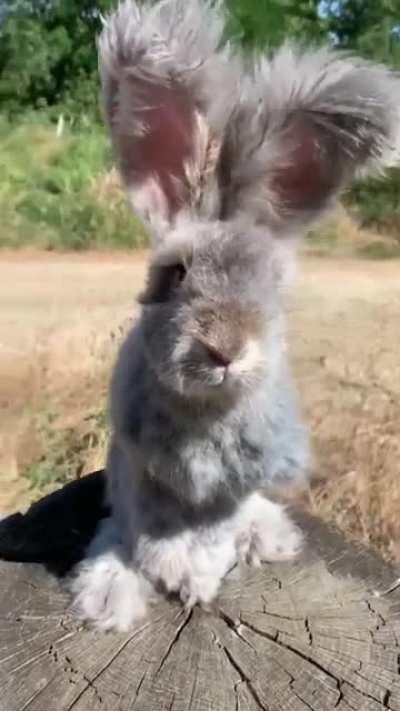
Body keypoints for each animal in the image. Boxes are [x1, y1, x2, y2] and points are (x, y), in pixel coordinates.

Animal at [69, 0, 400, 631]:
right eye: (174, 275)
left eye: (271, 285)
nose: (224, 348)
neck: (204, 410)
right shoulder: (142, 471)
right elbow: (153, 534)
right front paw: (170, 576)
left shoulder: (230, 485)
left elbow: (213, 535)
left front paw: (198, 582)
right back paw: (110, 592)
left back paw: (268, 537)